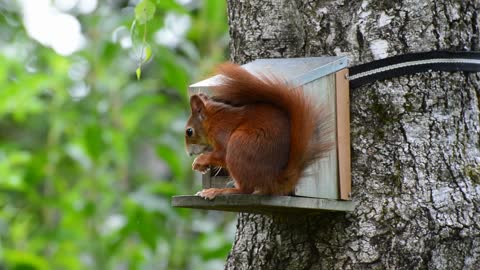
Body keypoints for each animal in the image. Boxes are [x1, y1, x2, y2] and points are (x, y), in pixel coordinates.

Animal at [186, 62, 332, 199]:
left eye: (189, 131)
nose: (189, 153)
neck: (213, 120)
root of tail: (273, 180)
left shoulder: (222, 132)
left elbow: (221, 154)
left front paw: (199, 161)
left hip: (239, 145)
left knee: (245, 190)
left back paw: (218, 191)